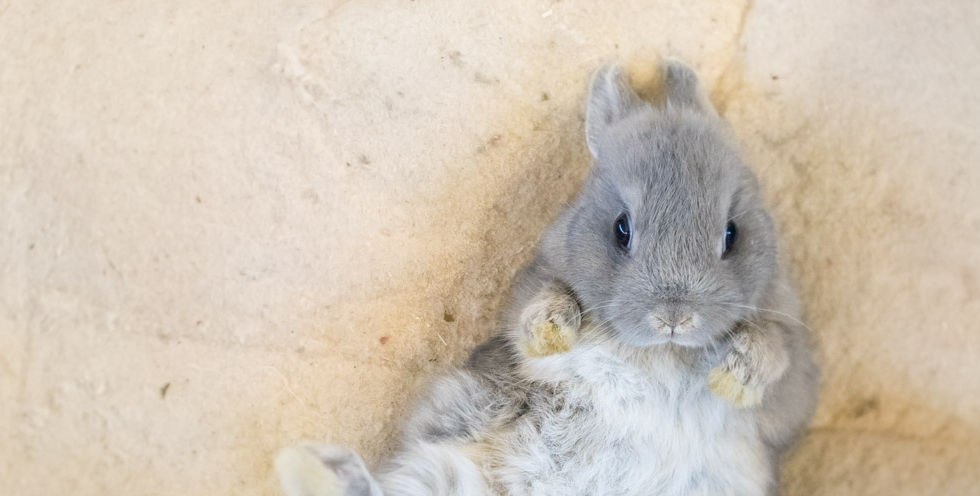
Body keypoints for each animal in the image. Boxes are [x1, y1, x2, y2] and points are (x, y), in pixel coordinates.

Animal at [276, 60, 819, 496]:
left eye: (731, 234)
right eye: (621, 229)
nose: (674, 317)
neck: (660, 353)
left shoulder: (790, 387)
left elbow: (774, 352)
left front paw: (735, 376)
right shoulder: (526, 295)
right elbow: (540, 306)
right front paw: (552, 330)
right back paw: (314, 464)